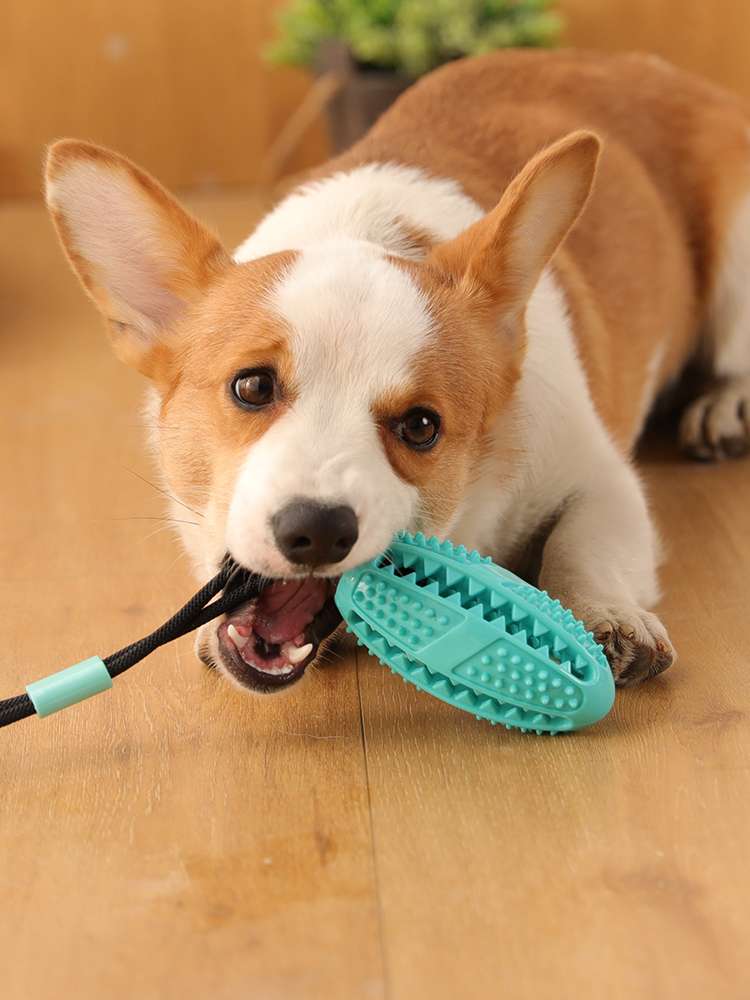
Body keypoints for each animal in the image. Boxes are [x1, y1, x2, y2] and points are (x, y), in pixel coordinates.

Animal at [45, 50, 750, 696]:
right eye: (251, 386)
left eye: (421, 426)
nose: (316, 530)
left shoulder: (603, 481)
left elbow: (582, 544)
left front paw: (604, 615)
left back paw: (724, 406)